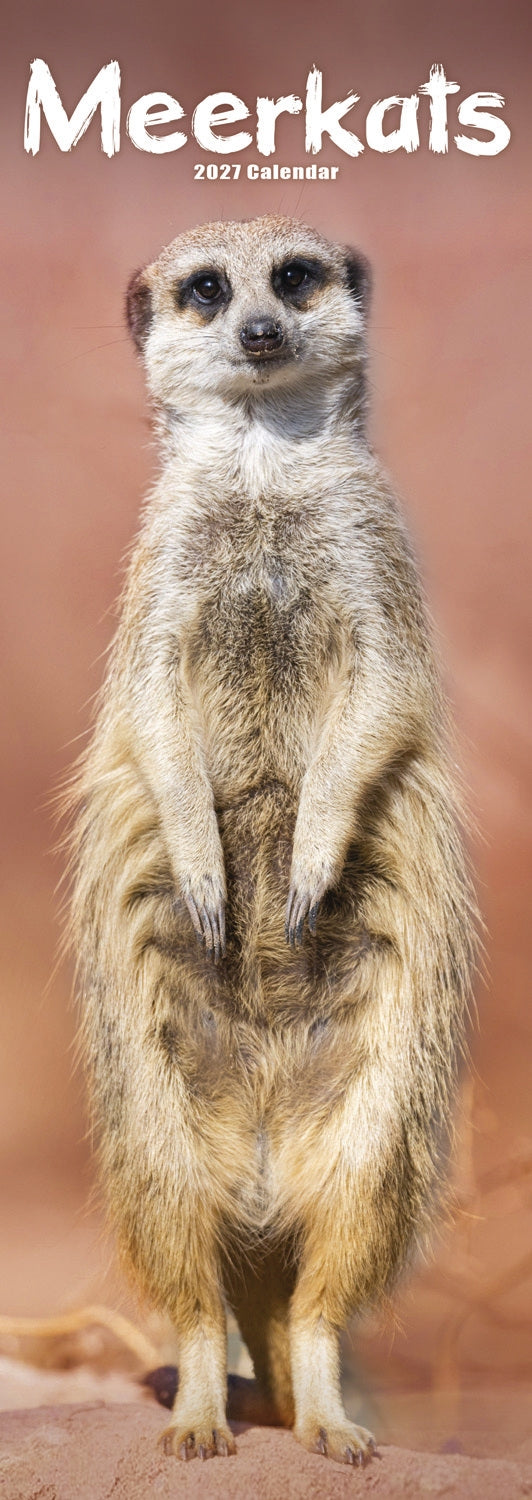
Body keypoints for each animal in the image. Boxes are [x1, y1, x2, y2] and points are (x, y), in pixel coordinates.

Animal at [68, 214, 476, 1465]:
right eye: (206, 289)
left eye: (293, 277)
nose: (257, 328)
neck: (259, 472)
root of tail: (258, 1179)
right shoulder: (159, 575)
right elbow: (152, 706)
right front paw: (211, 872)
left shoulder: (374, 557)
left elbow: (383, 692)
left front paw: (308, 858)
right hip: (149, 1127)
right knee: (191, 1281)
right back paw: (203, 1409)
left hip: (381, 1124)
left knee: (326, 1284)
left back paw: (328, 1415)